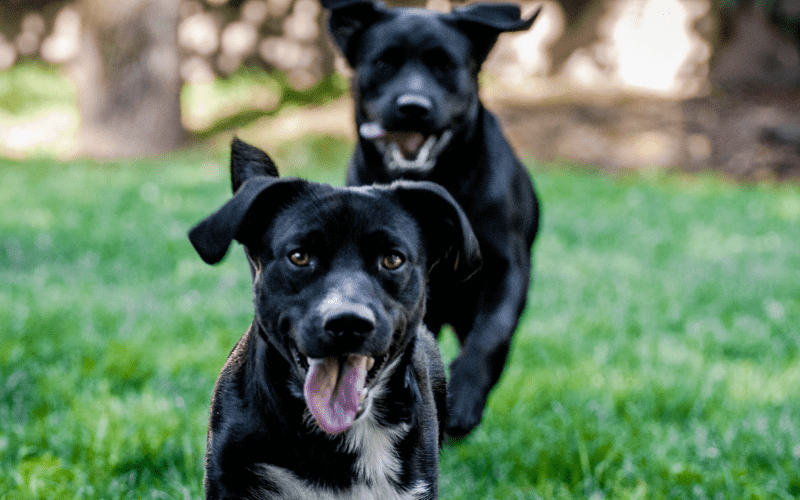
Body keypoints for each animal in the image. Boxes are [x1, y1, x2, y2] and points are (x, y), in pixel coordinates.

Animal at [322, 0, 540, 436]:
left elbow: (491, 337)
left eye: (445, 65)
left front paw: (465, 400)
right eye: (383, 62)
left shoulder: (506, 267)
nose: (413, 106)